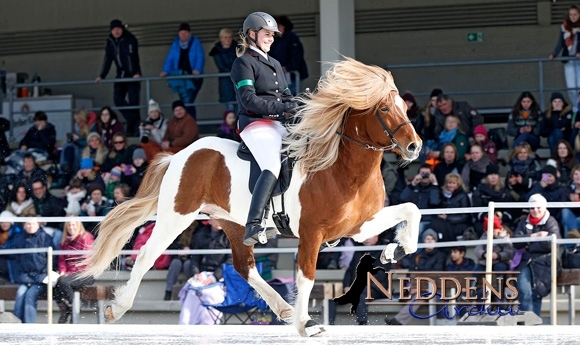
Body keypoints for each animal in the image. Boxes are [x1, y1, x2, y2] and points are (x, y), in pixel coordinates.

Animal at [80, 58, 422, 336]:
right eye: (384, 108)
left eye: (405, 107)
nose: (415, 147)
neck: (342, 168)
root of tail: (181, 154)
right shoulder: (312, 233)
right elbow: (306, 276)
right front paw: (306, 324)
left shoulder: (359, 226)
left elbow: (412, 210)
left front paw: (394, 250)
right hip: (175, 217)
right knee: (146, 255)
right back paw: (117, 308)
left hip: (233, 223)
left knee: (244, 267)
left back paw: (283, 308)